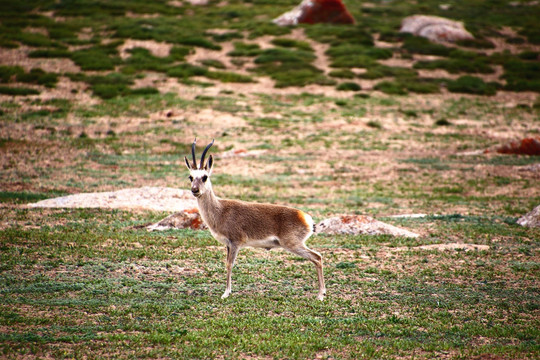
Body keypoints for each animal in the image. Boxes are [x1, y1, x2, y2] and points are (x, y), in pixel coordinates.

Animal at [184, 139, 326, 300]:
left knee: (317, 257)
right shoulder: (228, 245)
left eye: (205, 177)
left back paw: (320, 295)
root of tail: (305, 217)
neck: (220, 210)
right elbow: (227, 264)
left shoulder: (235, 242)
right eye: (190, 177)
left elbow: (229, 265)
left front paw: (226, 293)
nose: (194, 190)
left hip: (293, 245)